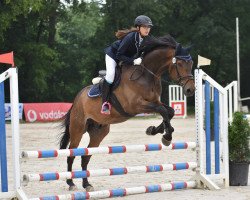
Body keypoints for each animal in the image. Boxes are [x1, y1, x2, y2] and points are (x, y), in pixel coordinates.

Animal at [59, 34, 195, 192]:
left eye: (191, 63)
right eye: (179, 64)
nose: (191, 90)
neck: (147, 75)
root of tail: (77, 99)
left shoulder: (154, 102)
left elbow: (170, 111)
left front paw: (155, 130)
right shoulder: (136, 106)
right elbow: (163, 111)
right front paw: (166, 136)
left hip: (98, 132)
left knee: (85, 156)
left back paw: (87, 184)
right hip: (77, 129)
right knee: (71, 153)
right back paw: (71, 183)